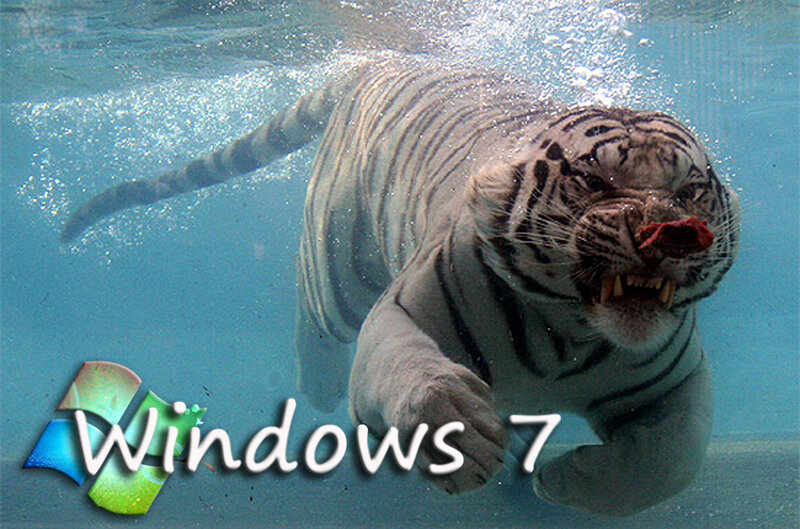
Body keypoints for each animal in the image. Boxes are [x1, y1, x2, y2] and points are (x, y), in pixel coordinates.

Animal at [61, 56, 740, 516]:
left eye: (690, 191)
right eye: (596, 183)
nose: (669, 235)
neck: (568, 333)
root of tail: (377, 61)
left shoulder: (678, 378)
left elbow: (672, 458)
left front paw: (559, 481)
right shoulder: (400, 315)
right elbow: (410, 371)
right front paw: (460, 435)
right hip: (340, 262)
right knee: (314, 311)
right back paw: (319, 383)